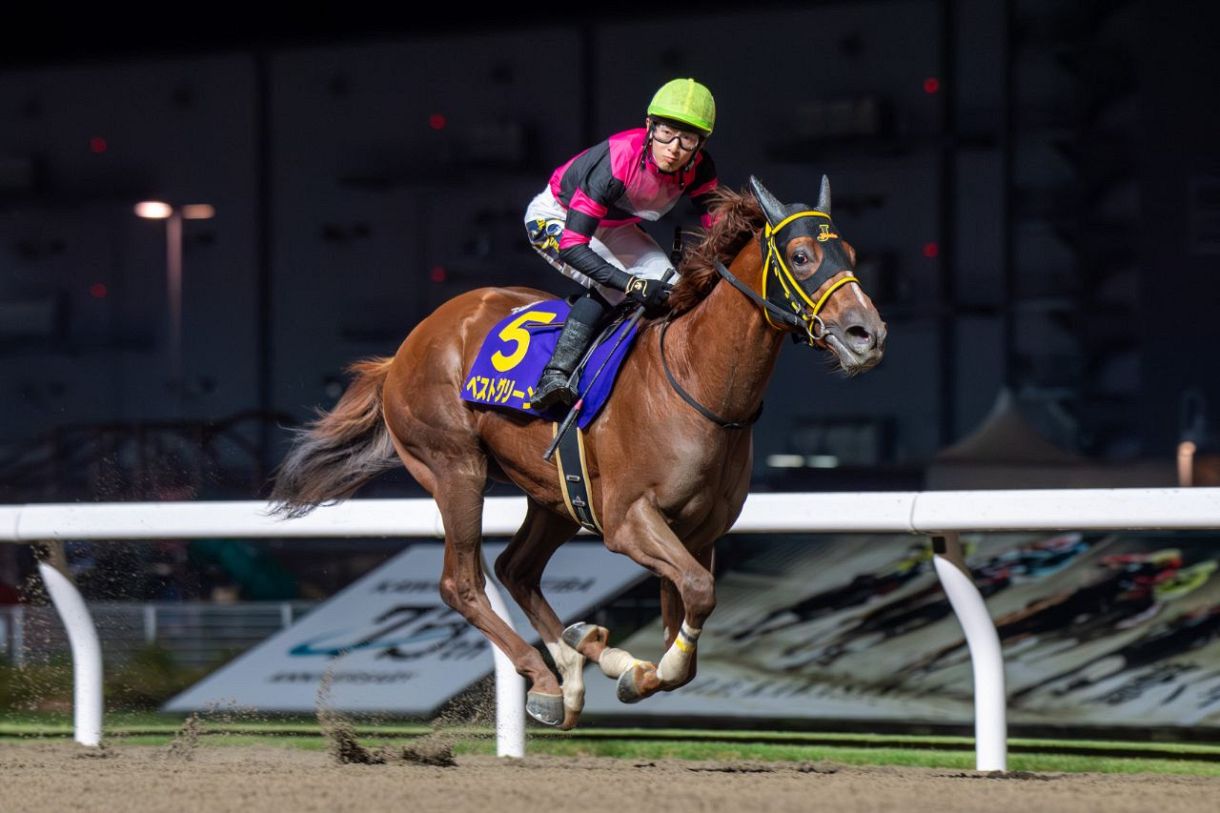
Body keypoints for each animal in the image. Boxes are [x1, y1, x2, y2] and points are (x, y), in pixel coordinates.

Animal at [270, 176, 887, 729]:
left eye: (852, 254)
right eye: (802, 256)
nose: (868, 334)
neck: (696, 381)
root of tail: (404, 350)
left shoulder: (698, 533)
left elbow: (686, 624)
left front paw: (631, 665)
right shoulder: (629, 520)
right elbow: (698, 593)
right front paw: (636, 669)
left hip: (555, 494)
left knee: (515, 568)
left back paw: (576, 659)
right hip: (455, 469)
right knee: (463, 583)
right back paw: (545, 678)